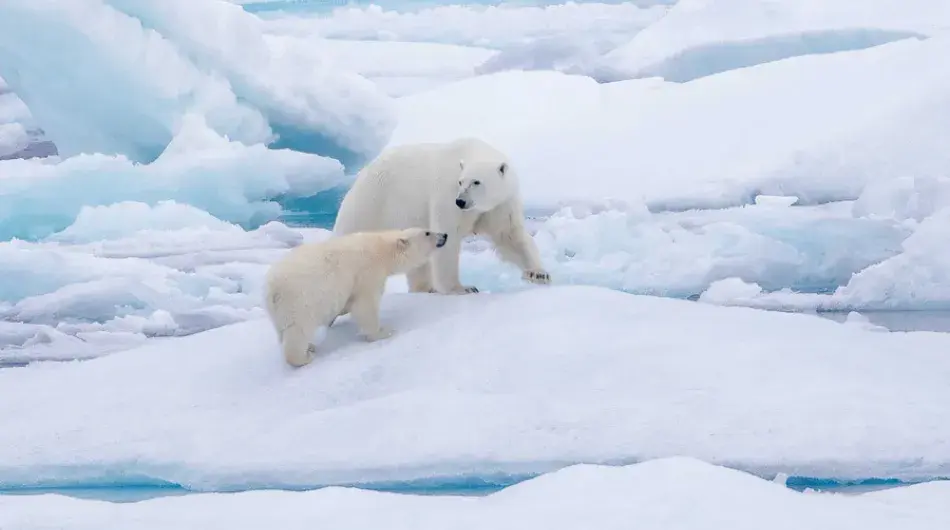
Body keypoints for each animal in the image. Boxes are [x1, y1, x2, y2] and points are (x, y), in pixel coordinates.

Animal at [263, 227, 448, 367]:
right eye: (427, 232)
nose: (444, 235)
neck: (383, 248)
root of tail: (272, 288)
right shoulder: (368, 270)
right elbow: (366, 305)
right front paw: (383, 331)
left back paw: (310, 347)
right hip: (301, 300)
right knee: (298, 330)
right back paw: (304, 357)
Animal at [333, 137, 551, 295]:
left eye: (476, 182)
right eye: (461, 182)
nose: (461, 201)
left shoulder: (500, 204)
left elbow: (509, 235)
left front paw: (539, 273)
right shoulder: (446, 194)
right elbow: (449, 235)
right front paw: (463, 288)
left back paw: (426, 288)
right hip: (372, 203)